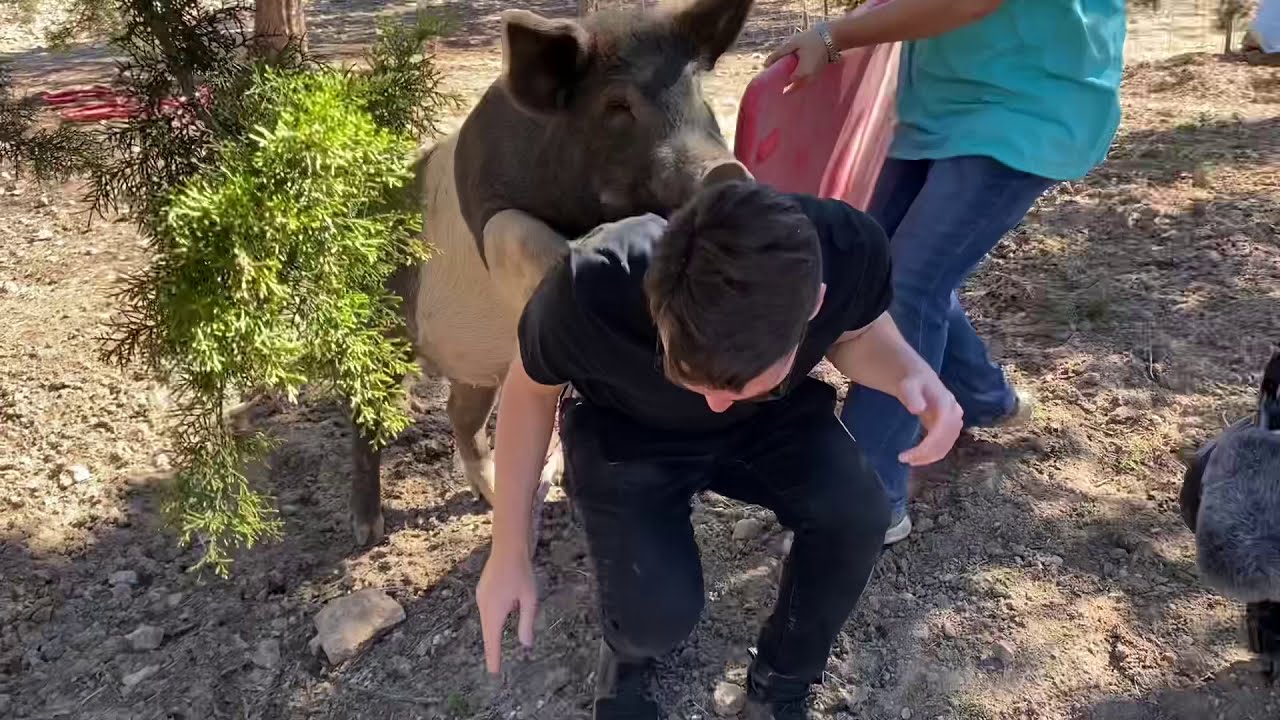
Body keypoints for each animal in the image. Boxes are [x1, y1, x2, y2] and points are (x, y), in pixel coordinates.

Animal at [346, 0, 755, 546]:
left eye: (696, 92)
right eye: (616, 106)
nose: (722, 170)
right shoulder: (492, 219)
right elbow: (520, 234)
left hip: (480, 363)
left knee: (461, 412)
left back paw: (493, 496)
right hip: (377, 331)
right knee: (364, 416)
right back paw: (367, 531)